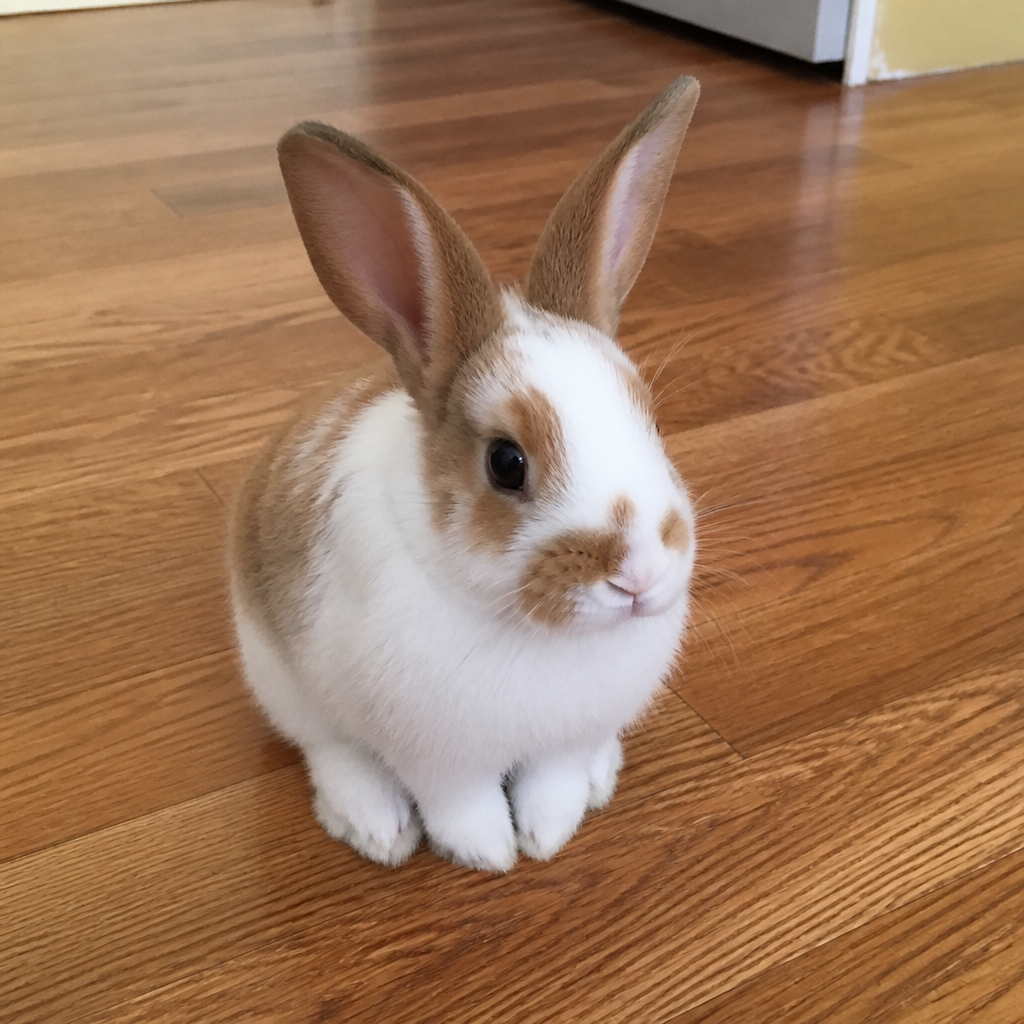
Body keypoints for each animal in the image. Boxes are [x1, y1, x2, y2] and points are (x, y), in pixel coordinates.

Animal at [229, 75, 701, 873]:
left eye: (652, 422)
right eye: (506, 464)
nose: (637, 575)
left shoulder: (563, 742)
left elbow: (554, 784)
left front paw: (547, 835)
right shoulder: (440, 759)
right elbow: (462, 807)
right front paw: (491, 855)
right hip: (280, 679)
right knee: (327, 747)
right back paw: (375, 827)